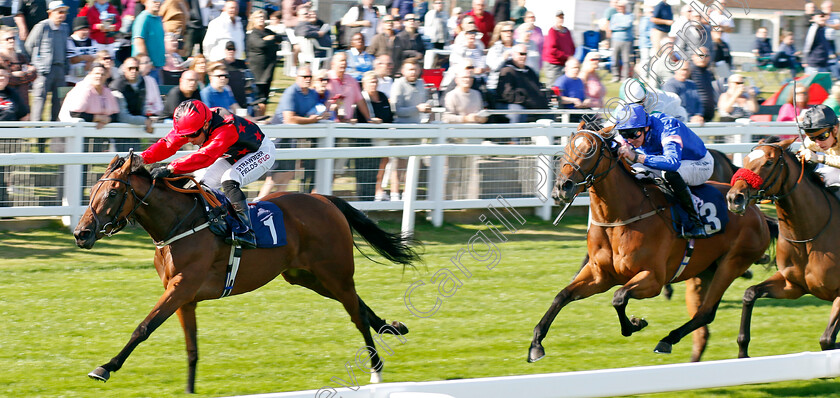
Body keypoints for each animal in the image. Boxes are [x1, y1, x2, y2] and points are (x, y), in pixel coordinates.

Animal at [74, 152, 420, 392]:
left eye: (113, 193)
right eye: (91, 191)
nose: (81, 234)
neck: (181, 224)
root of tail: (324, 199)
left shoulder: (182, 287)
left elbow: (144, 327)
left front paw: (105, 367)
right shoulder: (185, 297)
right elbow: (191, 347)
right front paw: (189, 388)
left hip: (333, 271)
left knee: (356, 314)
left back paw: (376, 367)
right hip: (307, 276)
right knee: (358, 303)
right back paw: (392, 327)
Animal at [528, 126, 772, 362]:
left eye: (590, 151)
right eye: (566, 149)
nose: (562, 188)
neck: (619, 218)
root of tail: (755, 211)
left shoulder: (653, 278)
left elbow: (619, 297)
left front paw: (635, 324)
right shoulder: (599, 275)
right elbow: (562, 296)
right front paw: (536, 345)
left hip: (731, 264)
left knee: (707, 312)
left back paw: (667, 340)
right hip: (702, 273)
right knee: (702, 321)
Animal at [724, 138, 840, 356]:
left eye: (768, 163)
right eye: (745, 160)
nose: (734, 199)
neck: (808, 237)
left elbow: (827, 340)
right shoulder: (792, 285)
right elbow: (750, 293)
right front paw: (743, 352)